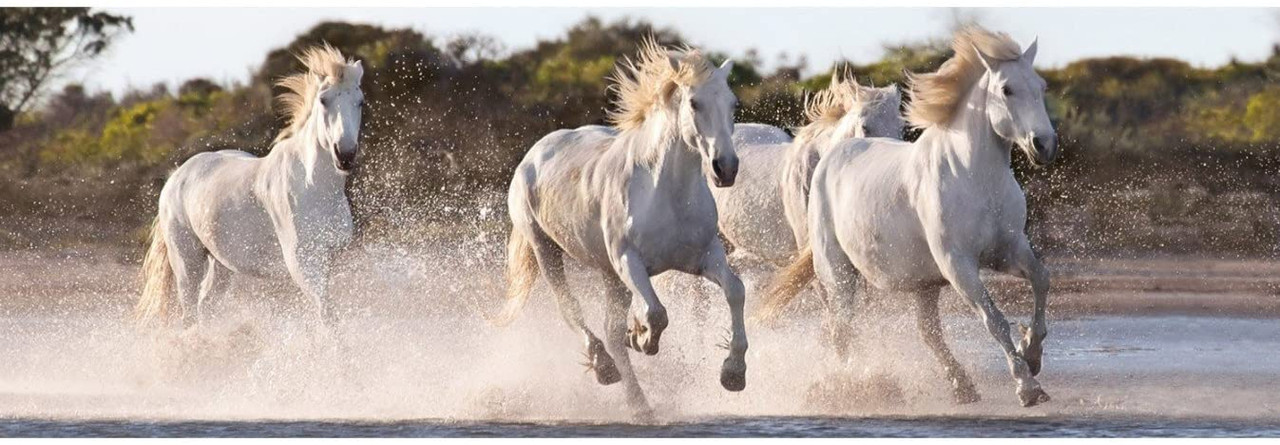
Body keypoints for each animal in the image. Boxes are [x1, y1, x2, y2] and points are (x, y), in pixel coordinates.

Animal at [136, 45, 363, 329]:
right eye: (323, 100)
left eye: (360, 101)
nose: (345, 155)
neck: (314, 187)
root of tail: (175, 176)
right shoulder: (302, 262)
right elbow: (327, 314)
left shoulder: (327, 258)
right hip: (187, 261)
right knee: (189, 313)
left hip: (221, 264)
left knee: (205, 307)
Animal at [494, 39, 747, 416]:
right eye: (694, 102)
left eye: (733, 103)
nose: (725, 168)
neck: (667, 194)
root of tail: (534, 154)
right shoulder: (629, 260)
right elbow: (657, 313)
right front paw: (642, 337)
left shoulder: (705, 257)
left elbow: (735, 290)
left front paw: (733, 372)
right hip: (546, 249)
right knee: (572, 310)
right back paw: (608, 371)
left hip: (608, 273)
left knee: (610, 329)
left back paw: (638, 401)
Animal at [757, 25, 1059, 406]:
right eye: (1006, 89)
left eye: (1041, 86)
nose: (1044, 145)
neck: (975, 178)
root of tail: (833, 153)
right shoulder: (958, 264)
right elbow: (994, 319)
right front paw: (1027, 386)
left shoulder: (1007, 250)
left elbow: (1041, 280)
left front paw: (1032, 353)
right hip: (838, 273)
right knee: (841, 329)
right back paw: (850, 387)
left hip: (924, 283)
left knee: (925, 332)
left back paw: (962, 386)